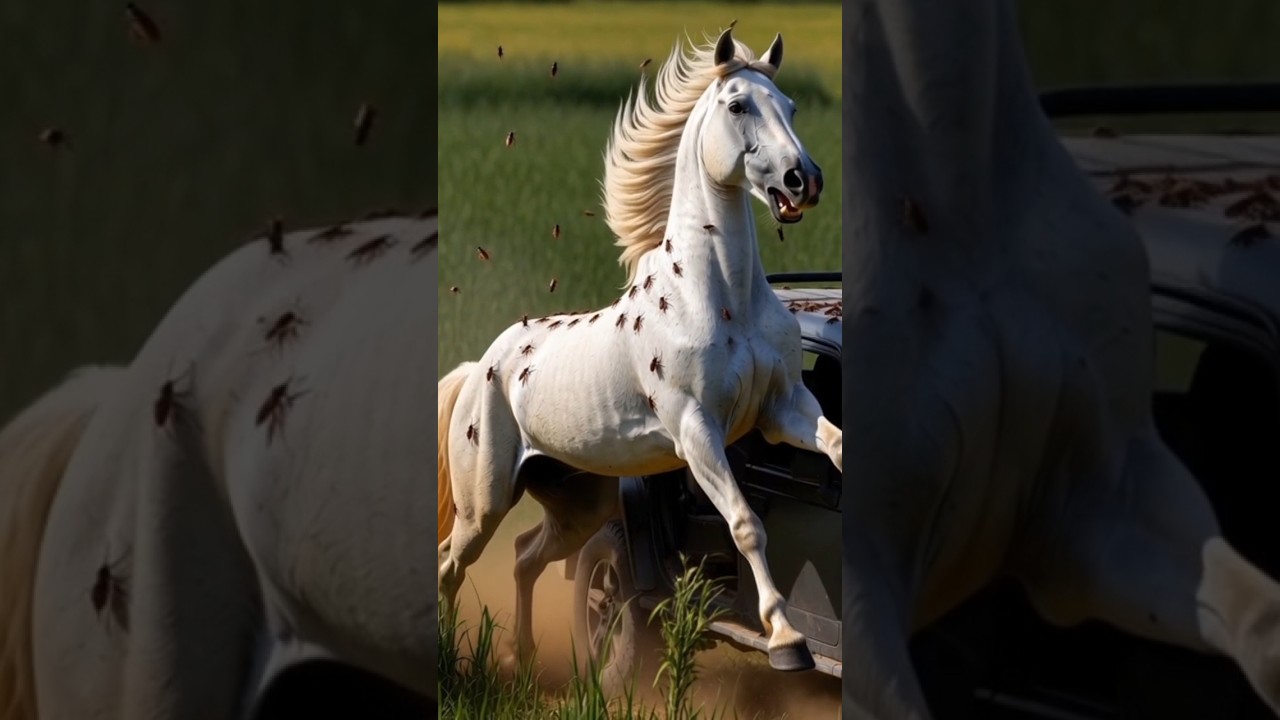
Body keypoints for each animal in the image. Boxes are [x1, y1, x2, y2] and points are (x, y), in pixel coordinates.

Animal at [436, 26, 843, 675]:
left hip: (577, 504)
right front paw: (786, 640)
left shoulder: (784, 410)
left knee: (526, 555)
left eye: (791, 107)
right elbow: (746, 524)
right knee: (451, 563)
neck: (721, 296)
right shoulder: (697, 431)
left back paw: (522, 654)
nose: (803, 180)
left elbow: (834, 444)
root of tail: (480, 370)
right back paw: (454, 661)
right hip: (485, 502)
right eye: (738, 106)